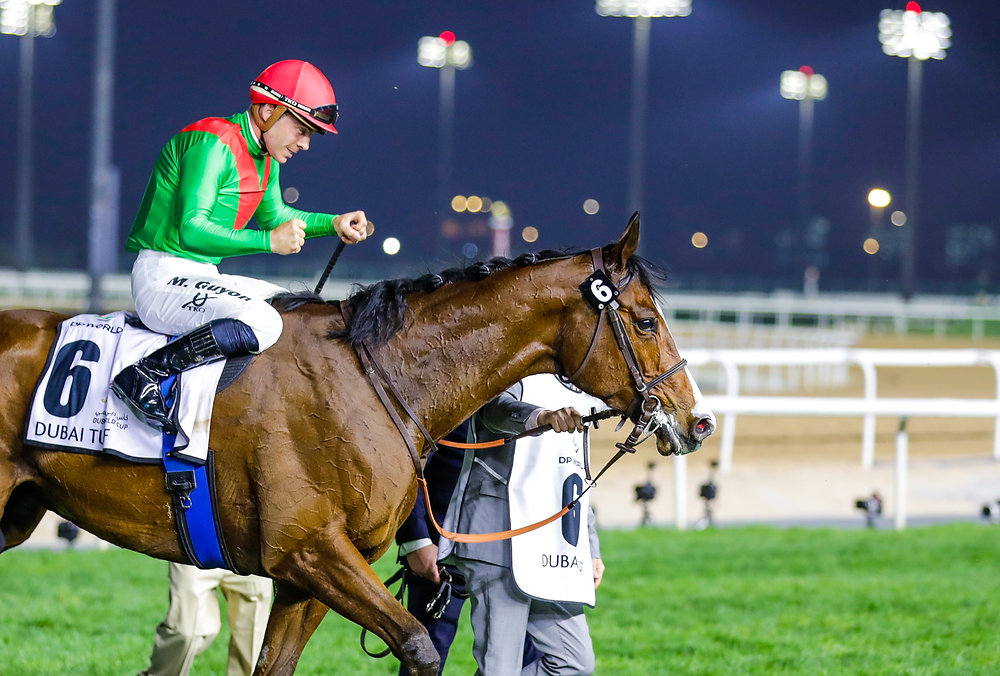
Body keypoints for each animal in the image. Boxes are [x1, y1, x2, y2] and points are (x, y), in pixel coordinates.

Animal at [0, 214, 715, 675]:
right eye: (645, 322)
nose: (698, 419)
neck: (377, 377)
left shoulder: (303, 581)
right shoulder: (311, 551)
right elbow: (420, 644)